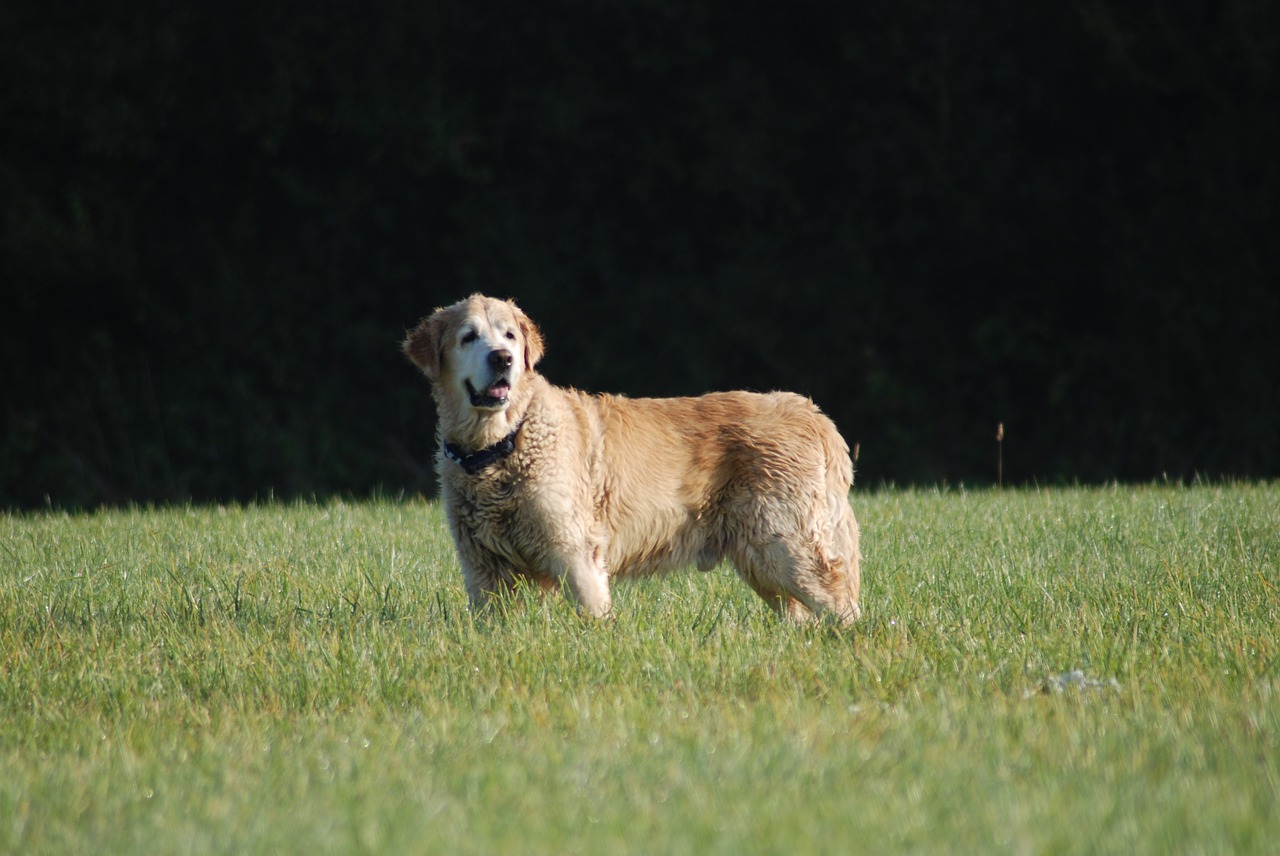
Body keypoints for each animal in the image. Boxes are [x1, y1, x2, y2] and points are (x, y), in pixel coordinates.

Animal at [401, 294, 860, 621]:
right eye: (468, 337)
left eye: (509, 335)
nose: (503, 359)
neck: (501, 443)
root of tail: (809, 410)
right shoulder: (482, 564)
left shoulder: (573, 547)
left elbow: (592, 610)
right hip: (761, 558)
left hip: (784, 542)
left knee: (840, 599)